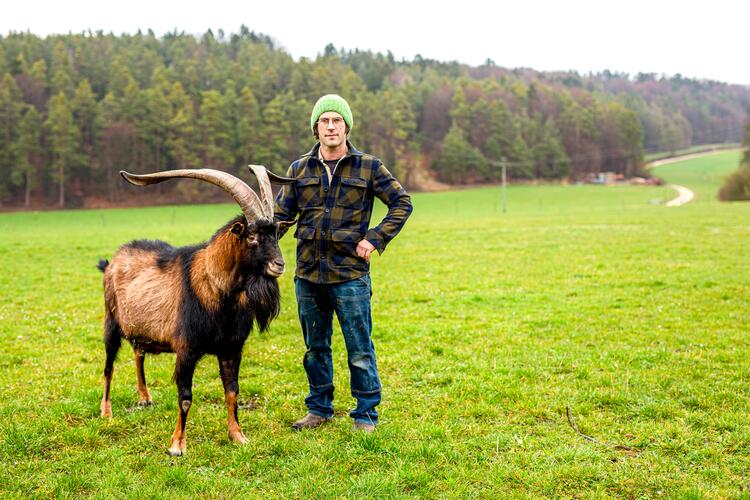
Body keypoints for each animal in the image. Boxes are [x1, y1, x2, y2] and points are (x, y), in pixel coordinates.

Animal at [99, 166, 296, 456]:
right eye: (251, 236)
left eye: (276, 234)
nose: (278, 265)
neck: (214, 287)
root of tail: (112, 261)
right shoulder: (186, 350)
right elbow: (185, 397)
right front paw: (176, 446)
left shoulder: (231, 349)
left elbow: (232, 392)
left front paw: (238, 436)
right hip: (111, 322)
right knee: (109, 366)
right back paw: (106, 411)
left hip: (141, 329)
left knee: (138, 353)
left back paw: (145, 398)